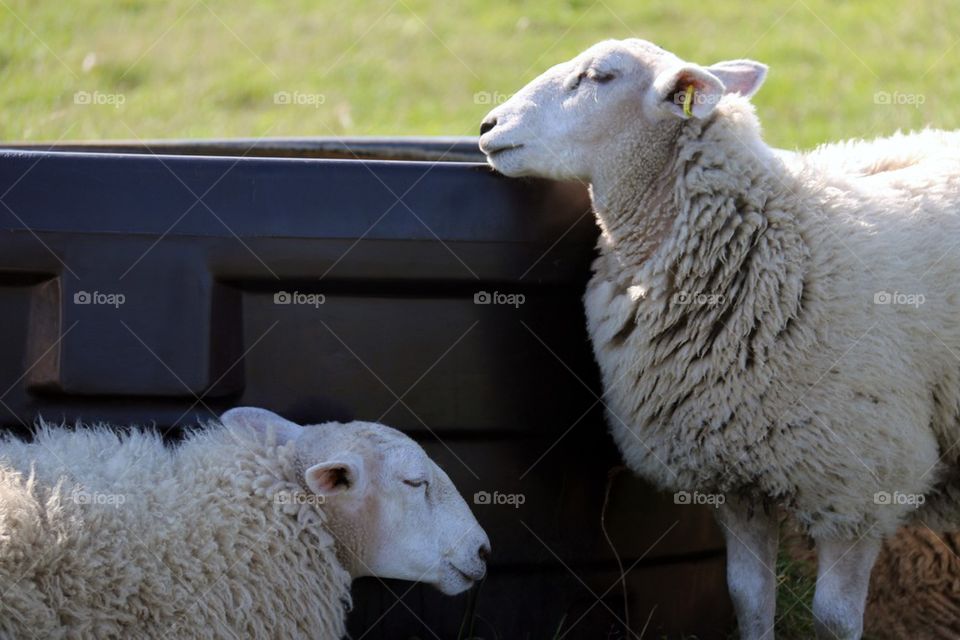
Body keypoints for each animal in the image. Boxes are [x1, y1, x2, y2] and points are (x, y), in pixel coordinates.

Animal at [478, 38, 960, 640]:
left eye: (599, 76)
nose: (488, 125)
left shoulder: (859, 479)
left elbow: (834, 618)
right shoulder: (734, 474)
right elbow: (747, 596)